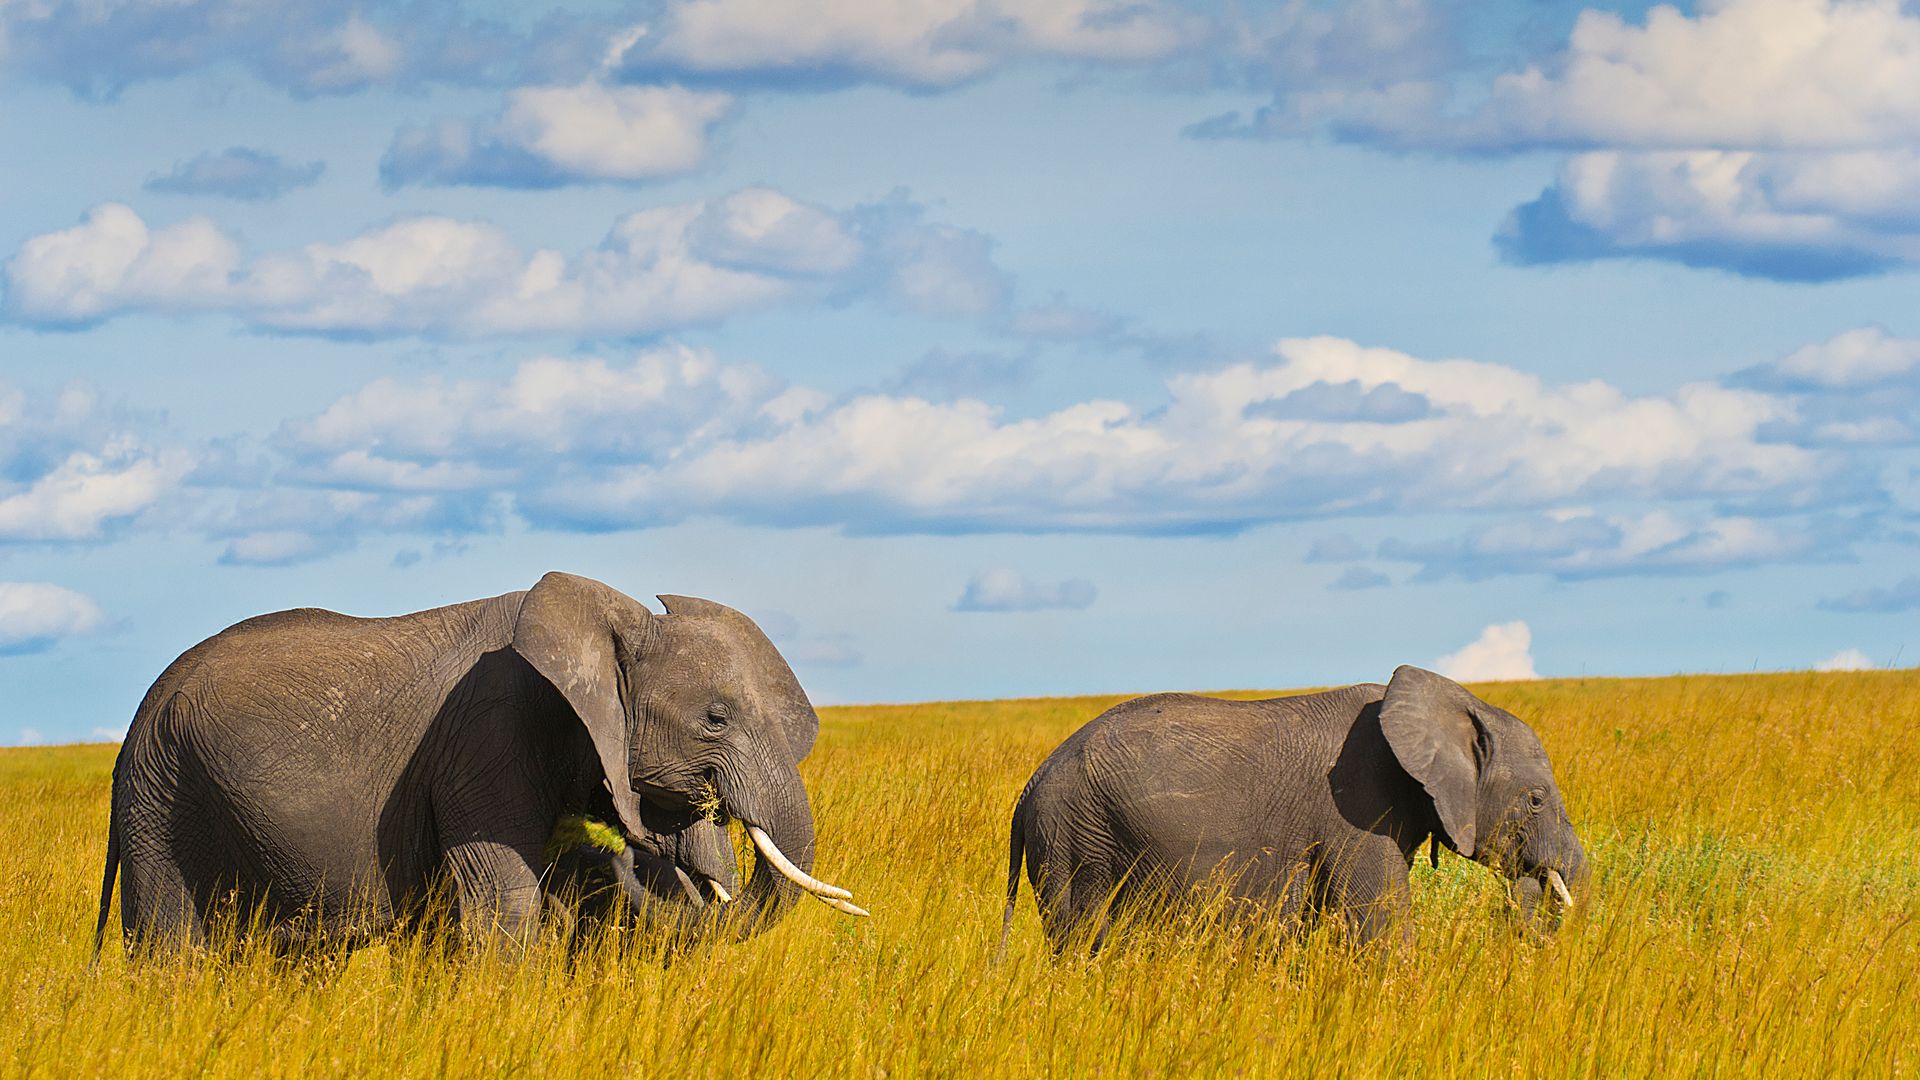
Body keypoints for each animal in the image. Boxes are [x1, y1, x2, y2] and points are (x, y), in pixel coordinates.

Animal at [93, 571, 868, 955]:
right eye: (716, 719)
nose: (613, 861)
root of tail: (139, 715)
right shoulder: (486, 737)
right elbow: (508, 901)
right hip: (161, 793)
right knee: (171, 948)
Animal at [999, 666, 1587, 954]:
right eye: (1536, 800)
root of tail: (1030, 788)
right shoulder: (1358, 804)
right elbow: (1380, 921)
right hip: (1076, 840)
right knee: (1084, 938)